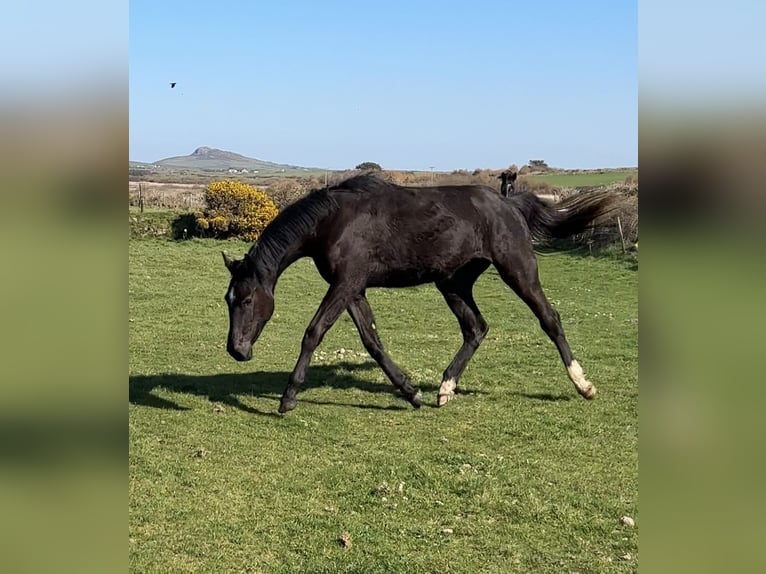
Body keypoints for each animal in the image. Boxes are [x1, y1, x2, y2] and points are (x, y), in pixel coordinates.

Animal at [222, 174, 614, 413]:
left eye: (246, 300)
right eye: (228, 300)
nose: (237, 351)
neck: (335, 221)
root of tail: (509, 204)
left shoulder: (344, 284)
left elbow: (313, 332)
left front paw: (288, 397)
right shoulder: (353, 289)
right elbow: (373, 342)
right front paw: (411, 392)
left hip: (517, 271)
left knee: (550, 319)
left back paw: (583, 384)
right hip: (453, 283)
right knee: (476, 328)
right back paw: (445, 388)